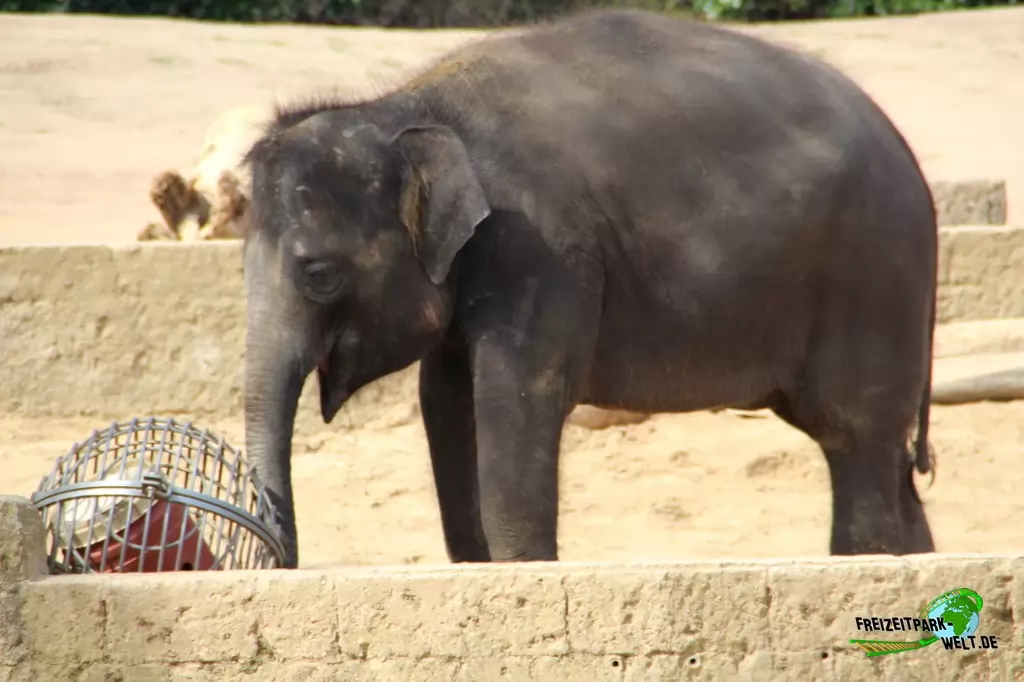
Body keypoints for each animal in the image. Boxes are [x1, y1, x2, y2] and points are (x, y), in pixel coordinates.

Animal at [239, 9, 938, 568]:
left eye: (319, 275)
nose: (276, 553)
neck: (408, 109)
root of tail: (913, 165)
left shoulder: (543, 252)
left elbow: (517, 401)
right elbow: (446, 402)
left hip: (873, 277)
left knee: (854, 438)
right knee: (890, 466)